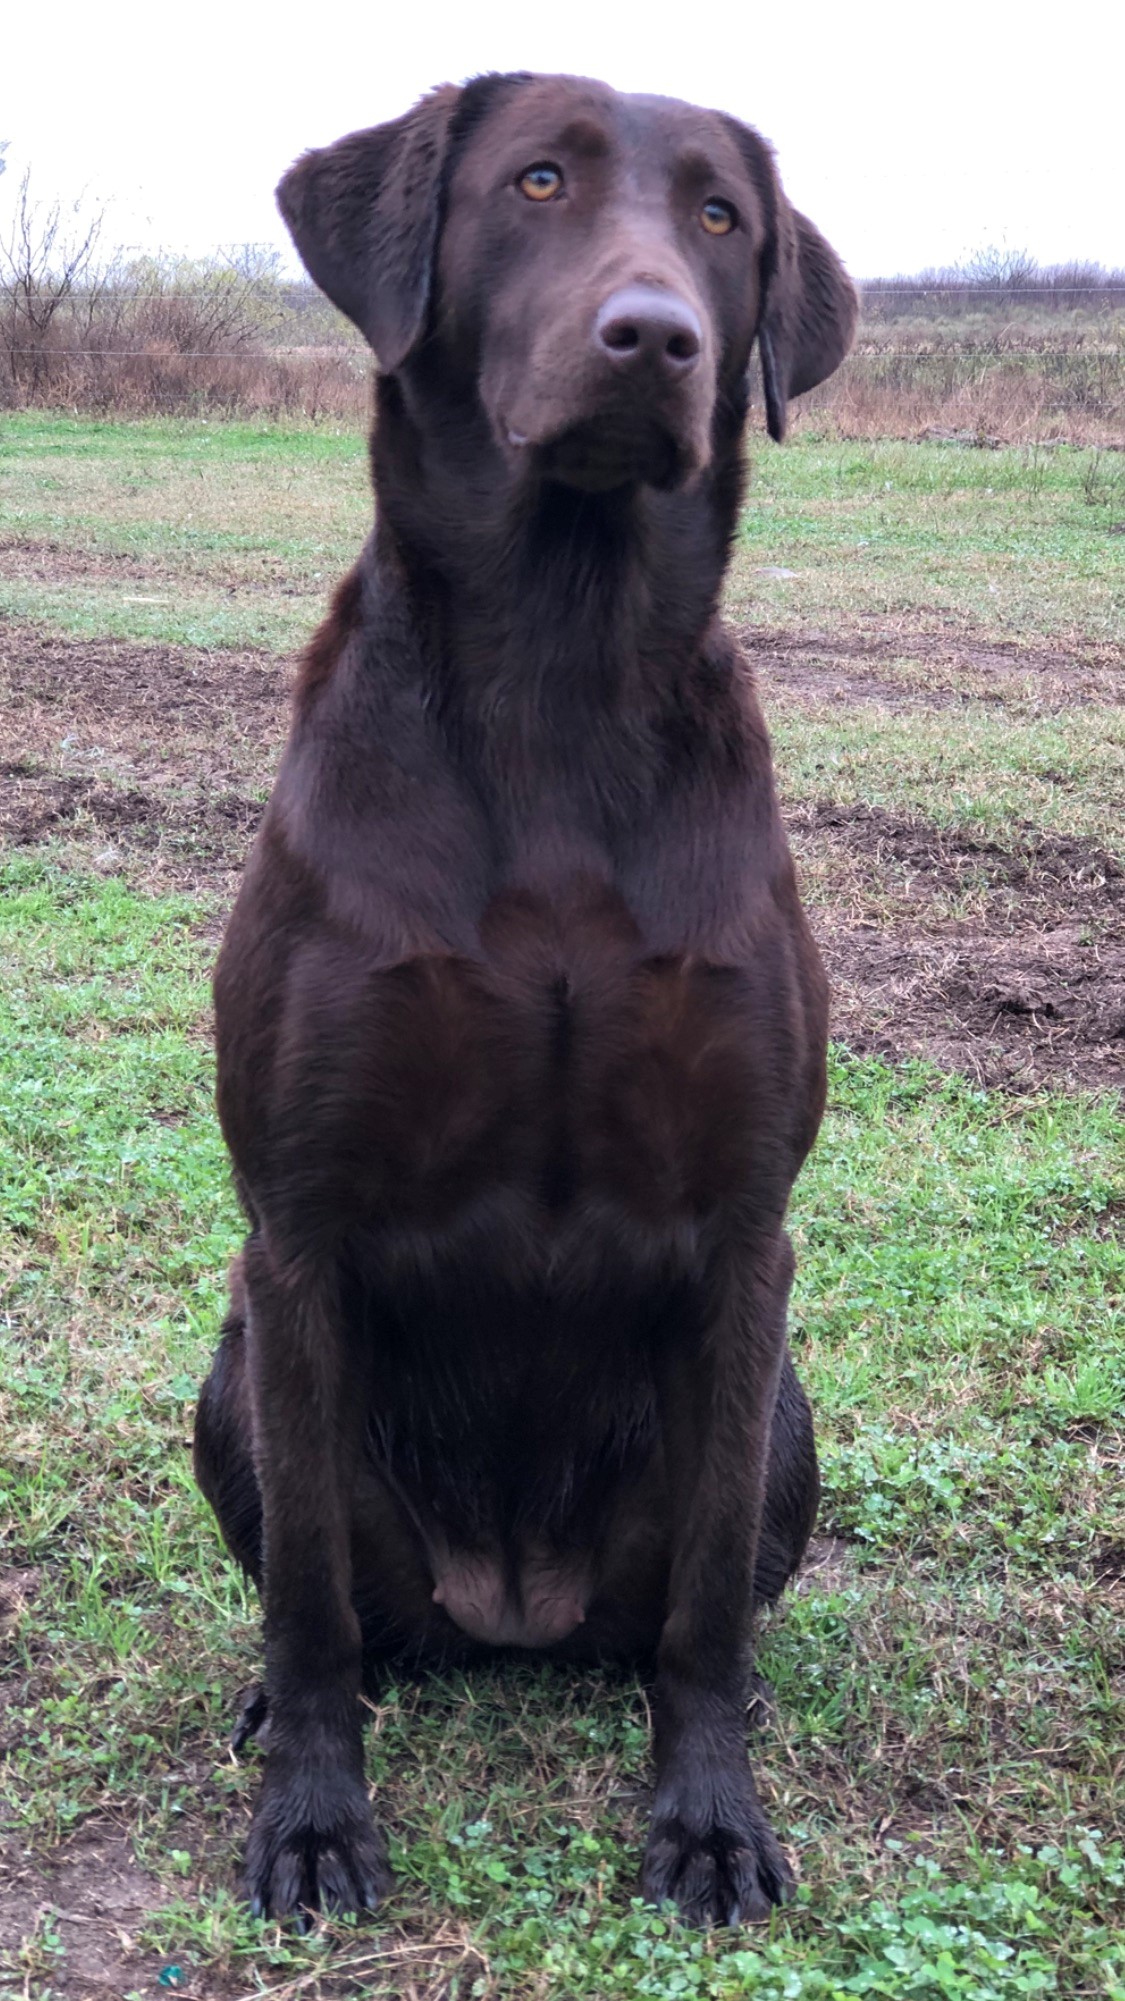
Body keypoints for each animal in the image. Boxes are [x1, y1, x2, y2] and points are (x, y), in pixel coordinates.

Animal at [195, 70, 848, 1928]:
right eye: (537, 183)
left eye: (722, 220)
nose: (657, 339)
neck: (562, 668)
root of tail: (513, 1607)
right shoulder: (295, 1230)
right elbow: (313, 1594)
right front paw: (313, 1818)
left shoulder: (746, 1234)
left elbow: (702, 1609)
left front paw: (711, 1818)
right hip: (233, 1367)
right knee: (343, 1598)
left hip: (785, 1410)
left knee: (691, 1600)